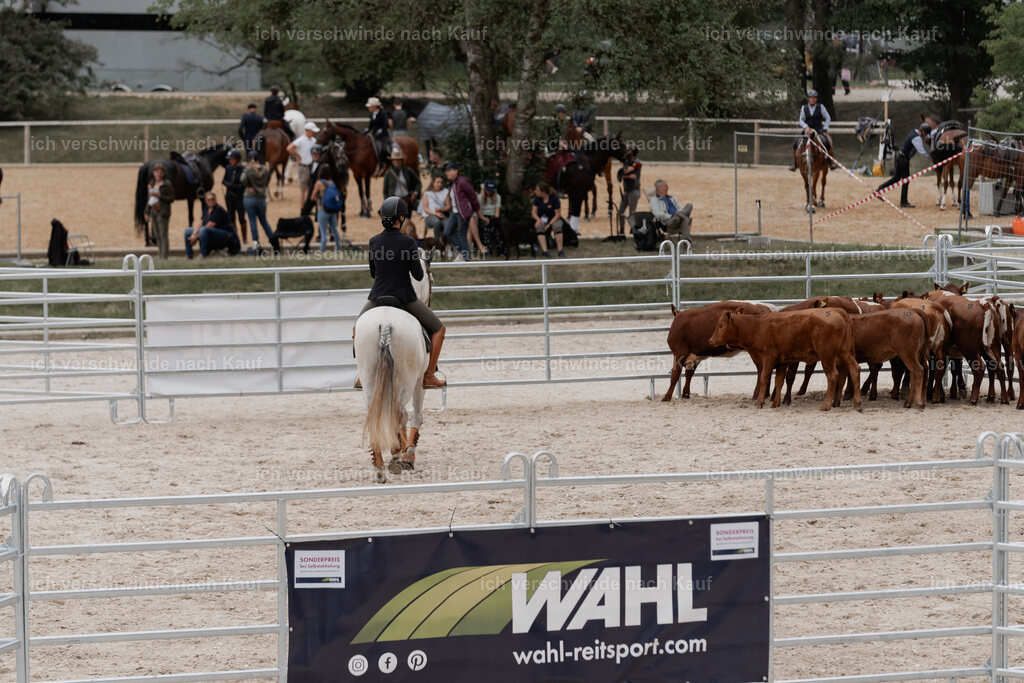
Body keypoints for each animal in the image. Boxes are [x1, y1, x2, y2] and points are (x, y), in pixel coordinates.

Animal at [354, 254, 432, 483]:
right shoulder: (419, 382)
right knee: (399, 412)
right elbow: (415, 416)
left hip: (369, 376)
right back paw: (396, 458)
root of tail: (386, 322)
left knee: (373, 411)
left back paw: (379, 466)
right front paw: (408, 454)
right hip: (408, 379)